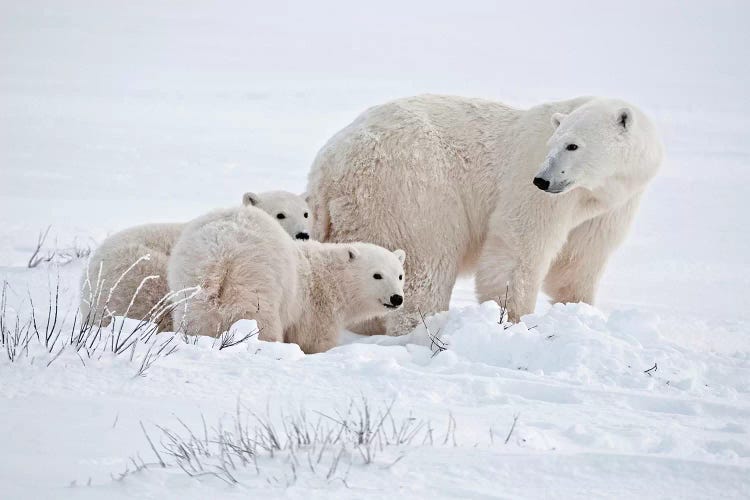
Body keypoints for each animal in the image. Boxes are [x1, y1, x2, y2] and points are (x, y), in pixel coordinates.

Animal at [308, 95, 660, 334]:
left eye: (572, 145)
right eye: (554, 144)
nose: (542, 180)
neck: (597, 190)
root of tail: (329, 165)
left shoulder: (610, 206)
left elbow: (580, 261)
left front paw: (578, 310)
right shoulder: (532, 188)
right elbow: (518, 246)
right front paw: (513, 320)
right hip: (411, 189)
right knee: (425, 263)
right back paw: (422, 326)